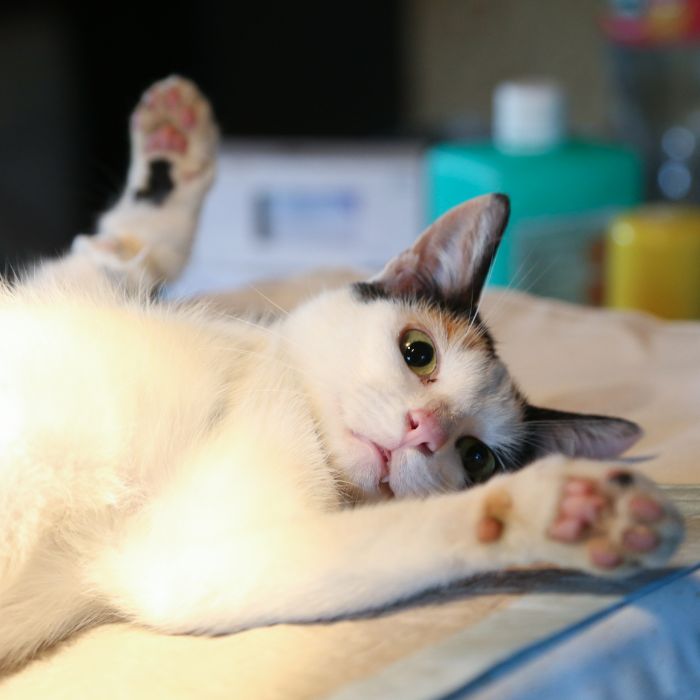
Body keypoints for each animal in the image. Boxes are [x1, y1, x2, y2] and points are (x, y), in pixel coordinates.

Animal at [0, 74, 684, 668]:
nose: (421, 430)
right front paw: (175, 151)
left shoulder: (191, 561)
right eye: (419, 351)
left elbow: (398, 537)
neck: (256, 378)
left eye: (476, 459)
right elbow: (121, 249)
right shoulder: (68, 290)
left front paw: (568, 514)